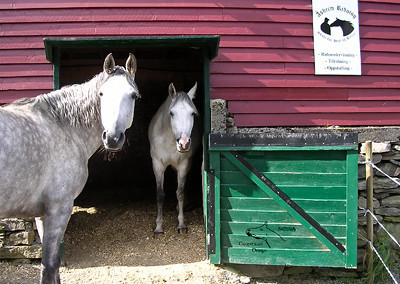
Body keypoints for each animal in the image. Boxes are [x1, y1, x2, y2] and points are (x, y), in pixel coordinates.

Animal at [0, 53, 140, 284]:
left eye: (134, 96)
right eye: (101, 93)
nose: (112, 138)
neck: (63, 127)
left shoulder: (42, 214)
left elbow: (54, 265)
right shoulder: (59, 208)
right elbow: (49, 266)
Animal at [148, 82, 202, 237]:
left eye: (192, 113)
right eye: (172, 113)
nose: (183, 143)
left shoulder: (183, 164)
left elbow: (180, 192)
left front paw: (181, 224)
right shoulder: (157, 165)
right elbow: (160, 195)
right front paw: (159, 227)